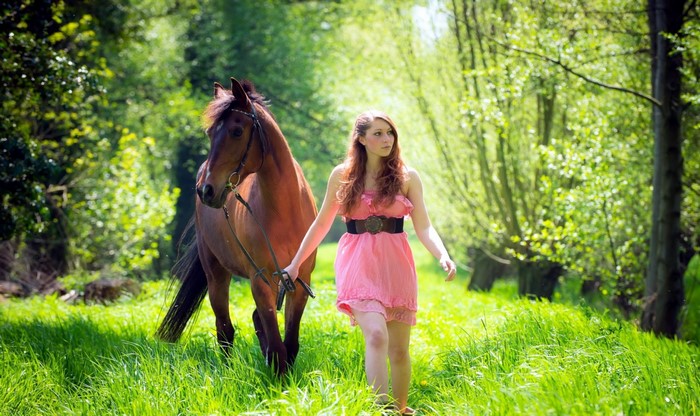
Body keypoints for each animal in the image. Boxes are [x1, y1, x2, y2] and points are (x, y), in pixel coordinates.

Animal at [156, 77, 317, 375]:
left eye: (237, 131)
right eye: (209, 133)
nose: (206, 190)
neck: (285, 210)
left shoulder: (299, 281)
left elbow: (289, 343)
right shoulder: (260, 280)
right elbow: (277, 345)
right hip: (216, 275)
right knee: (224, 329)